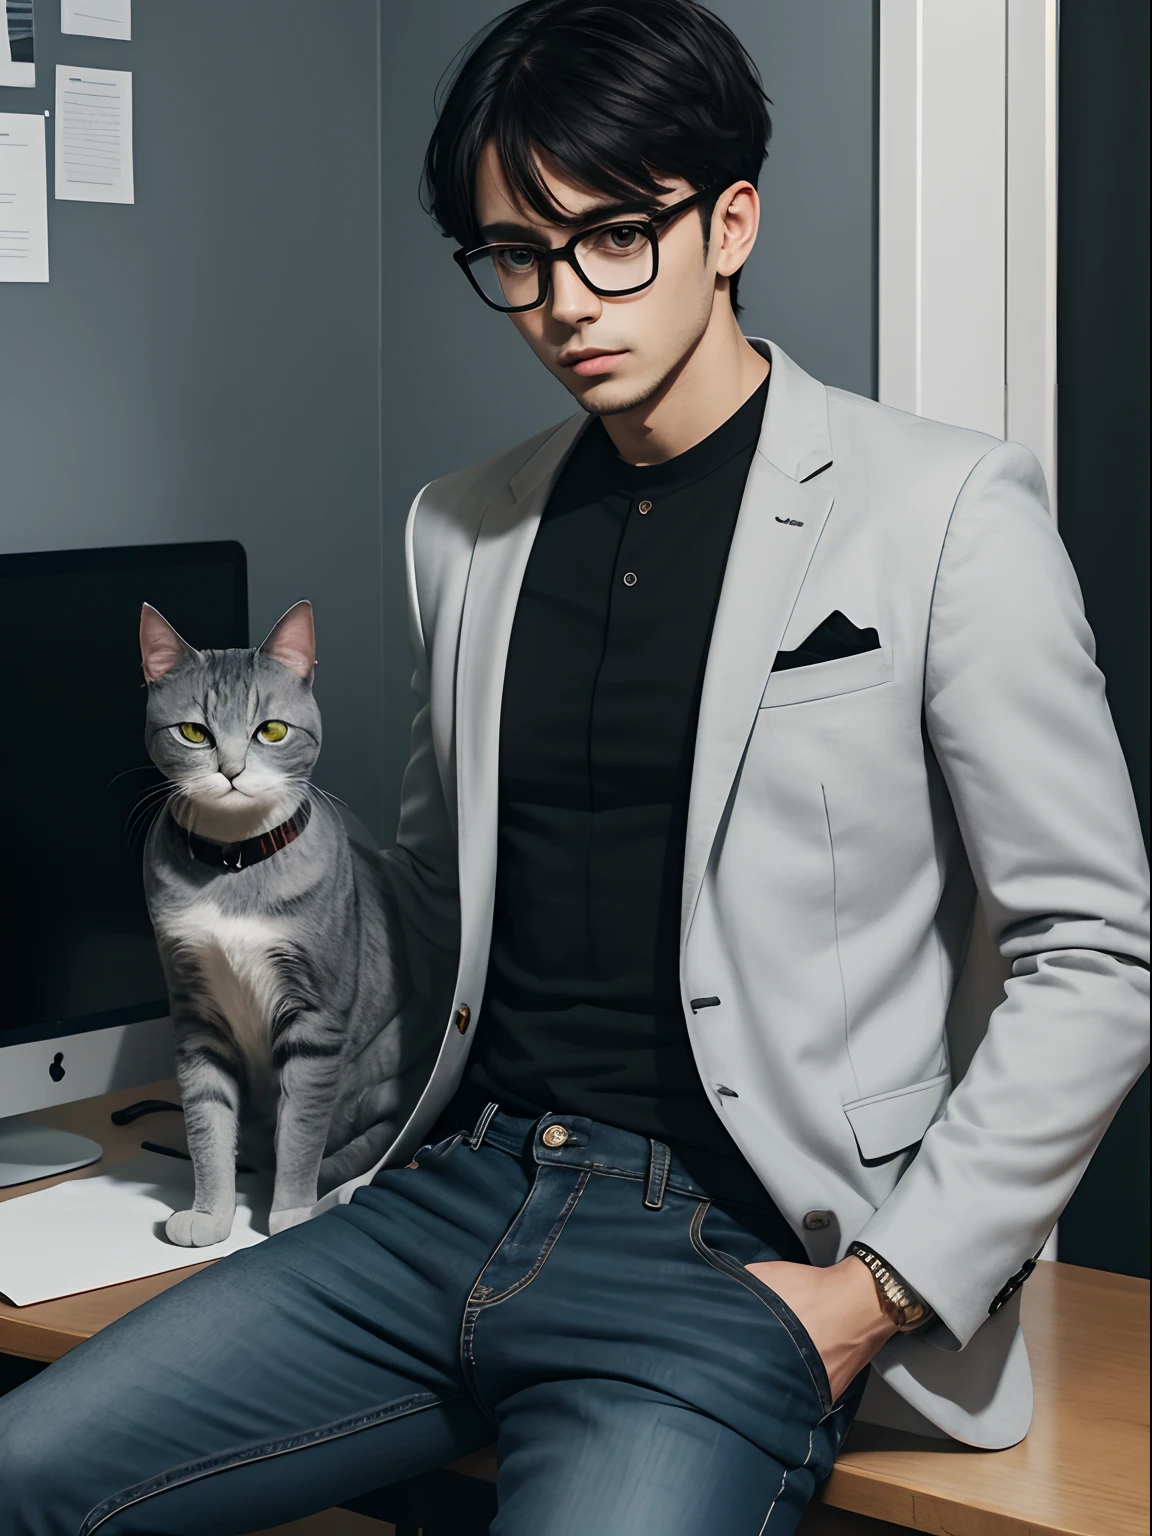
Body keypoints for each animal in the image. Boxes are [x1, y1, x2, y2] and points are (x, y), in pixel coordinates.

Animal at [141, 599, 414, 1247]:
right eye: (194, 732)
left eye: (271, 730)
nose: (232, 770)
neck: (235, 867)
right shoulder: (196, 1014)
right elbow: (206, 1124)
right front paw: (212, 1213)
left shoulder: (316, 1019)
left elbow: (301, 1130)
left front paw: (290, 1211)